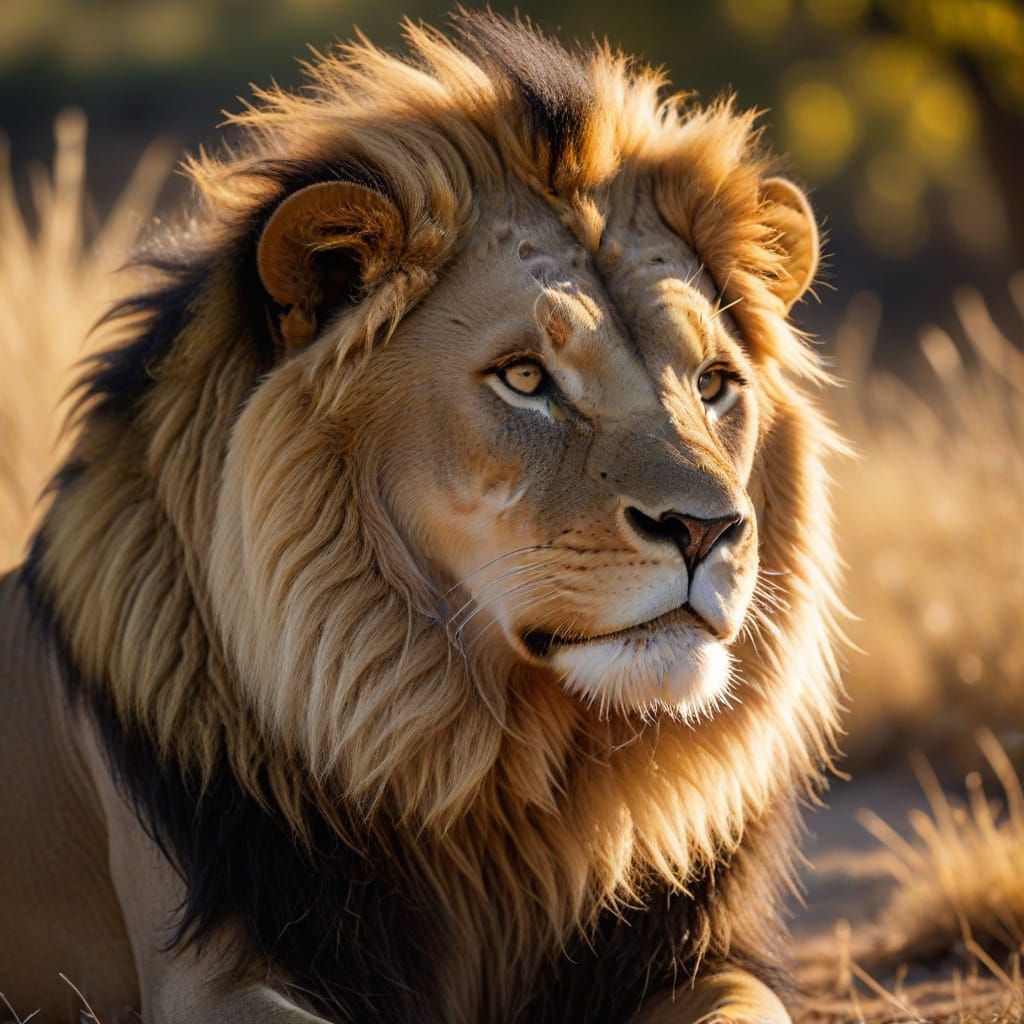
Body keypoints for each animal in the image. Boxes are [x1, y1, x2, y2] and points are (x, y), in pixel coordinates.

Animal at [0, 12, 843, 1023]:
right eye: (525, 377)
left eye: (715, 384)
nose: (710, 531)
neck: (505, 791)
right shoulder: (207, 980)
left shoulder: (704, 958)